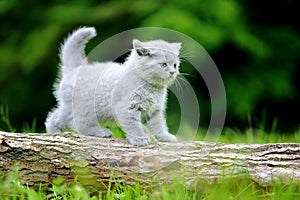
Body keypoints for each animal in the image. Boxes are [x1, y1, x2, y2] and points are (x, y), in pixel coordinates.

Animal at [44, 26, 180, 145]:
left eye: (175, 65)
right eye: (163, 65)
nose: (173, 72)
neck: (151, 86)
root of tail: (75, 69)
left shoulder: (153, 110)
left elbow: (158, 126)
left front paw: (166, 138)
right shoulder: (126, 106)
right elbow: (133, 125)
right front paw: (140, 139)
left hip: (69, 106)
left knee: (56, 116)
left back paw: (53, 132)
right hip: (85, 106)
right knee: (78, 123)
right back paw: (101, 132)